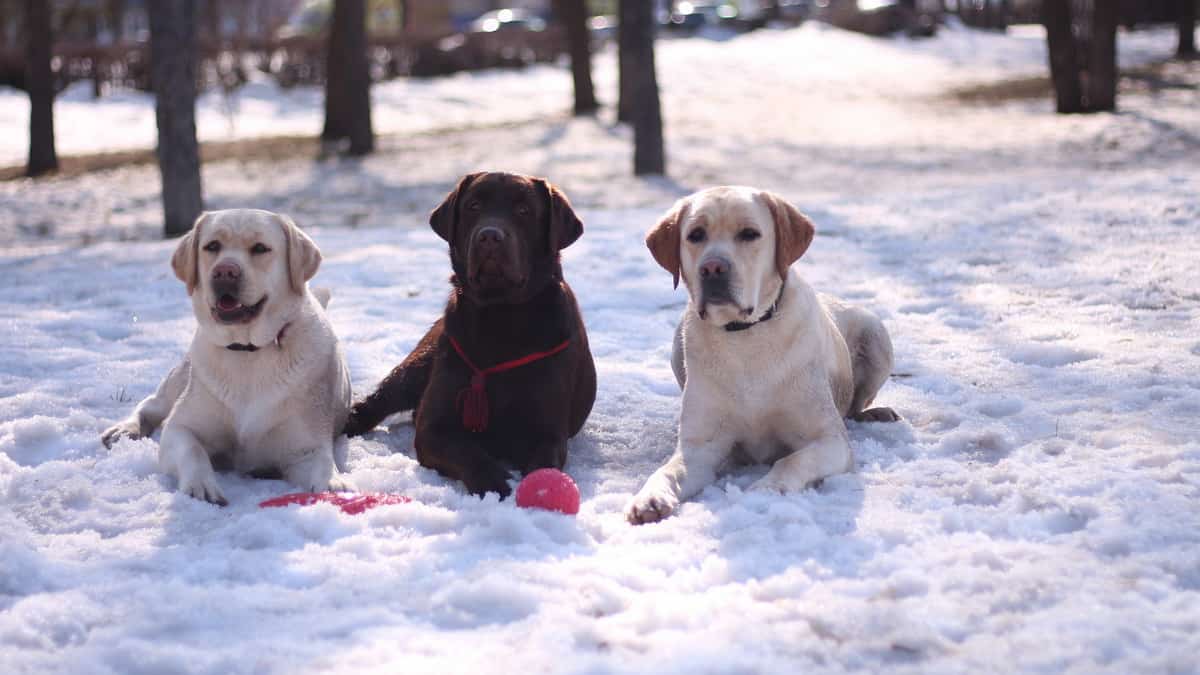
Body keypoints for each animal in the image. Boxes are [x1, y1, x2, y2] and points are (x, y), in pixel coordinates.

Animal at [103, 207, 350, 502]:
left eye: (260, 248)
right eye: (212, 246)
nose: (225, 271)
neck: (247, 351)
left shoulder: (305, 447)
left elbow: (323, 463)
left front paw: (335, 485)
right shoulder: (180, 428)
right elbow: (192, 449)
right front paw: (200, 485)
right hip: (180, 378)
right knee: (152, 404)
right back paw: (124, 429)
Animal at [343, 170, 595, 497]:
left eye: (524, 210)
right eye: (474, 206)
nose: (489, 236)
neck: (498, 317)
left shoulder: (549, 431)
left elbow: (544, 465)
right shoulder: (433, 427)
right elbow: (465, 451)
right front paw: (494, 482)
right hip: (417, 365)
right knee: (378, 400)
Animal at [624, 186, 897, 523]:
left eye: (749, 234)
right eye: (695, 234)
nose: (712, 268)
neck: (744, 338)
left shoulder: (830, 440)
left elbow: (791, 461)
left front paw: (766, 489)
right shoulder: (699, 449)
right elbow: (667, 471)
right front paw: (649, 498)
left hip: (876, 333)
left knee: (856, 406)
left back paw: (876, 413)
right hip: (677, 346)